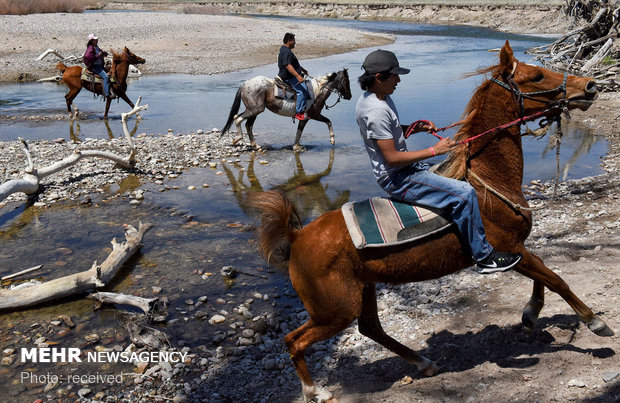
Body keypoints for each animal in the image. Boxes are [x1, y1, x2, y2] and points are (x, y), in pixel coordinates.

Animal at [247, 41, 612, 403]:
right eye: (536, 76)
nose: (590, 86)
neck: (487, 180)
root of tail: (297, 237)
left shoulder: (518, 250)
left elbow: (545, 277)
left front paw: (531, 312)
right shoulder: (508, 249)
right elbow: (556, 279)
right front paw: (594, 322)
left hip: (362, 291)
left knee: (371, 329)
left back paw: (423, 362)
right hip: (335, 310)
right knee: (295, 341)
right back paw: (315, 391)